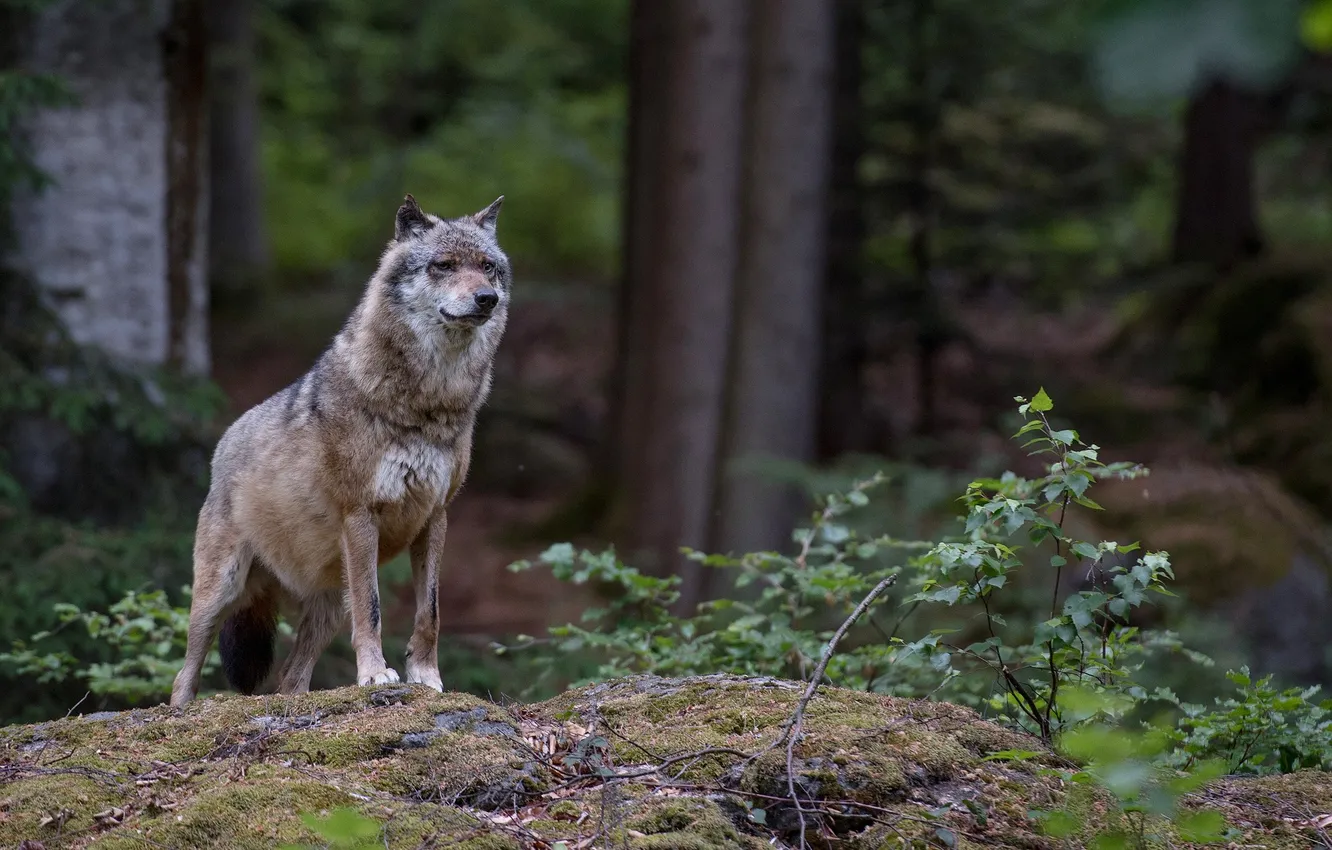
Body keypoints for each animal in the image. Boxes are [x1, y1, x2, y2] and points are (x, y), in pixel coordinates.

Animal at [169, 194, 509, 707]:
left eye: (487, 267)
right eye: (444, 266)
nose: (486, 298)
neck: (430, 403)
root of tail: (223, 444)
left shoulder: (436, 516)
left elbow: (429, 611)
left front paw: (426, 677)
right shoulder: (361, 513)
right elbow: (372, 609)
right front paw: (375, 675)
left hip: (326, 606)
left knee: (290, 679)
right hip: (220, 592)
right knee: (183, 674)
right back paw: (181, 710)